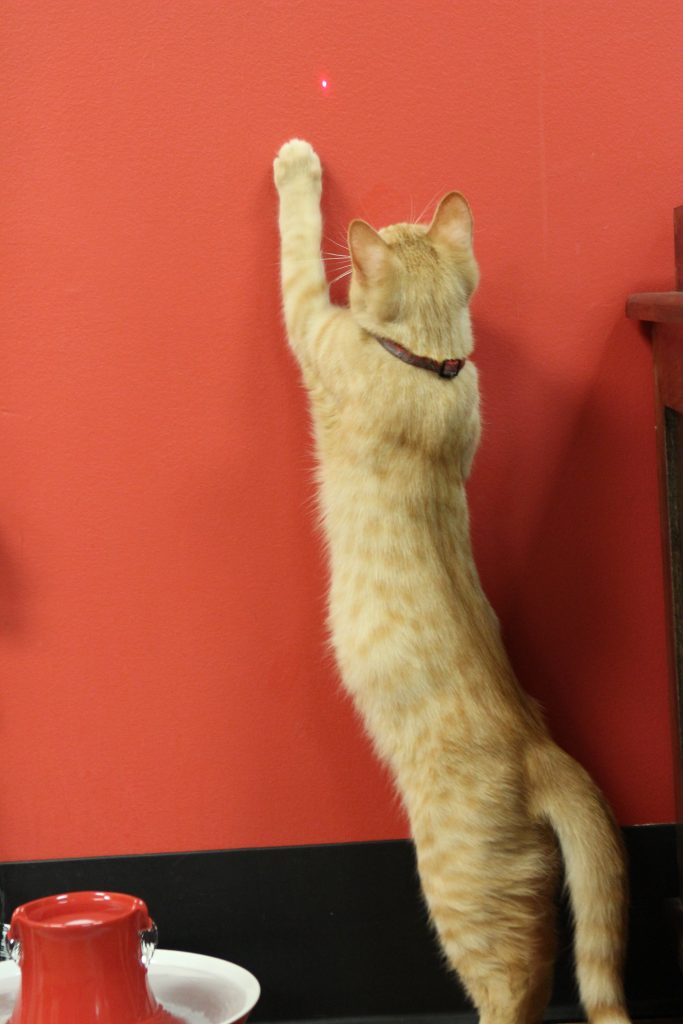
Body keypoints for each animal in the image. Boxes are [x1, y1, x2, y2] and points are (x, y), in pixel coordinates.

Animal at [272, 138, 630, 1024]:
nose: (383, 215)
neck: (434, 368)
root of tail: (539, 748)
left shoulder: (310, 325)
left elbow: (295, 253)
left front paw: (298, 172)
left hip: (462, 893)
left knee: (510, 992)